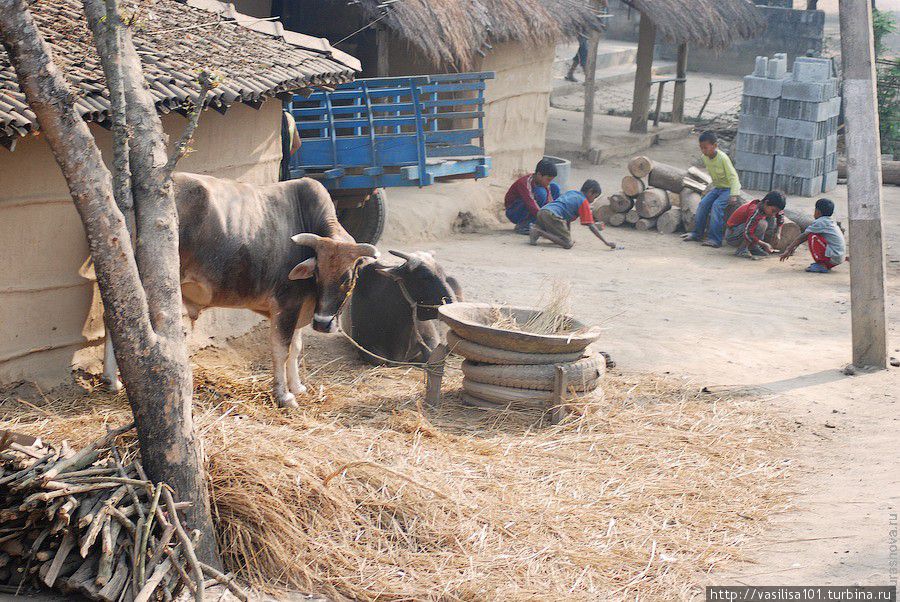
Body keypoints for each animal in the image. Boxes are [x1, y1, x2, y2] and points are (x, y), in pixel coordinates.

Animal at [103, 173, 378, 408]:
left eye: (347, 278)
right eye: (318, 273)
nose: (321, 323)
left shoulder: (300, 308)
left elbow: (296, 349)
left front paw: (297, 386)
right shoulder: (286, 306)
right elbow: (282, 350)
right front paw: (284, 395)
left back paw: (111, 380)